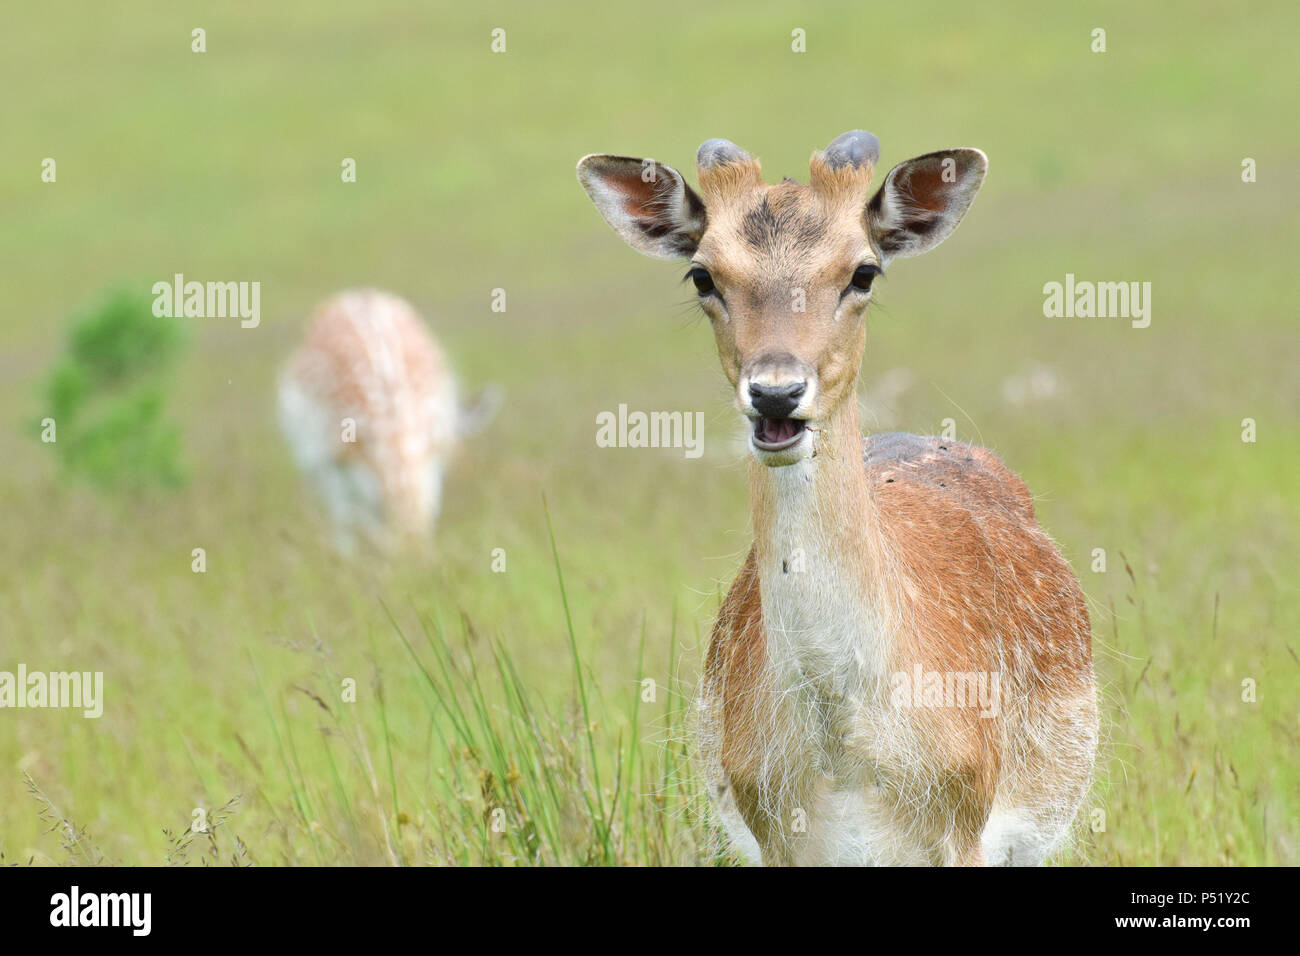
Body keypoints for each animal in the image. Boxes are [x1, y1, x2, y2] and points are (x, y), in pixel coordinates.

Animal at [579, 128, 1097, 868]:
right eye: (702, 275)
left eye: (864, 272)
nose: (776, 393)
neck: (845, 757)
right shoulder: (773, 833)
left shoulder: (965, 820)